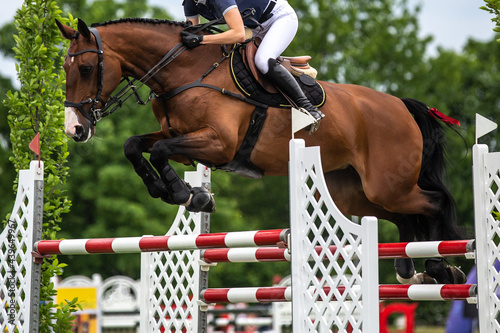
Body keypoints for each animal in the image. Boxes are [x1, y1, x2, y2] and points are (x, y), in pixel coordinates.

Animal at [56, 17, 466, 282]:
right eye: (64, 68)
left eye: (87, 68)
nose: (75, 129)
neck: (185, 71)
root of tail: (401, 105)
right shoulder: (184, 143)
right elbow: (135, 146)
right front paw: (178, 192)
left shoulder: (218, 143)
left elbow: (158, 153)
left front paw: (190, 195)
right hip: (356, 191)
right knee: (404, 215)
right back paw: (411, 266)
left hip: (387, 184)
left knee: (433, 203)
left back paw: (441, 266)